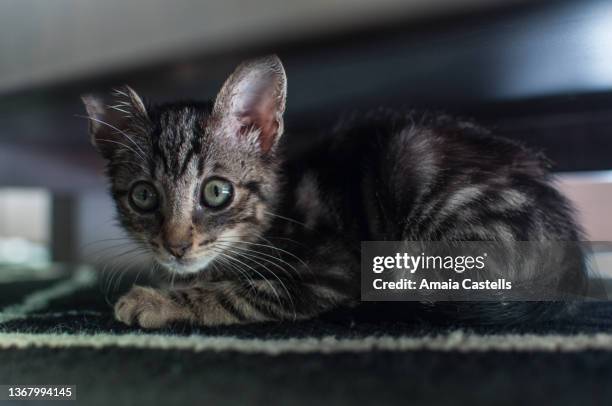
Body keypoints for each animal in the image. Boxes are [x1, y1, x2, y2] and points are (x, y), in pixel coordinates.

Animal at [81, 54, 584, 330]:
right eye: (143, 197)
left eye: (217, 192)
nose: (176, 245)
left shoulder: (332, 272)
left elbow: (235, 293)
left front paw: (154, 301)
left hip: (413, 173)